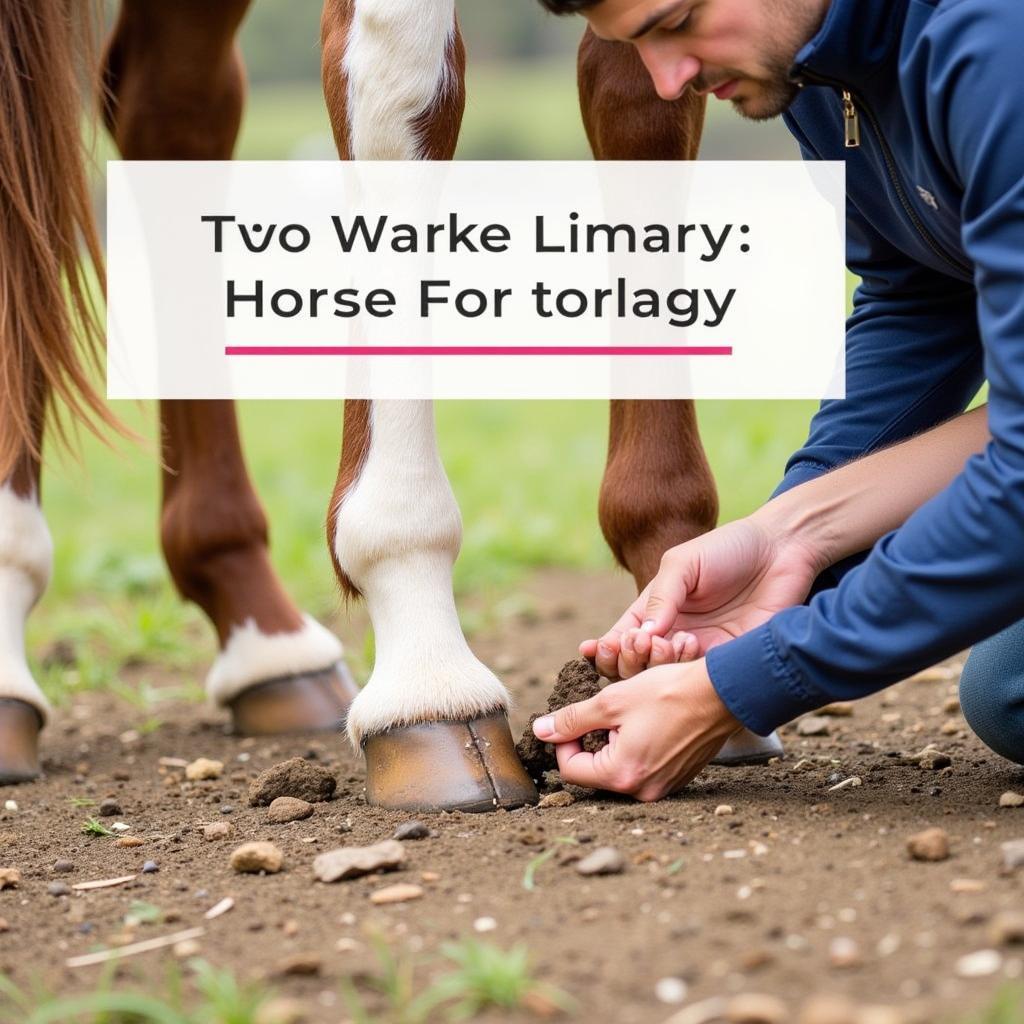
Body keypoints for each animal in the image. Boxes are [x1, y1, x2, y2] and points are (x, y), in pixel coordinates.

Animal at [0, 2, 778, 806]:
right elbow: (406, 82)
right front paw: (426, 667)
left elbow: (642, 104)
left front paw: (675, 602)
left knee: (172, 105)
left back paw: (261, 631)